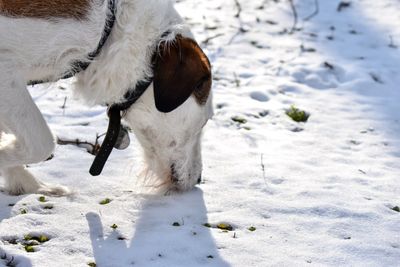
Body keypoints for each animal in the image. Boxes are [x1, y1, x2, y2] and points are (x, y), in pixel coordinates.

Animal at [0, 0, 212, 197]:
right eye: (203, 124)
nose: (199, 179)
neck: (113, 24)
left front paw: (26, 183)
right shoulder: (6, 72)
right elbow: (43, 142)